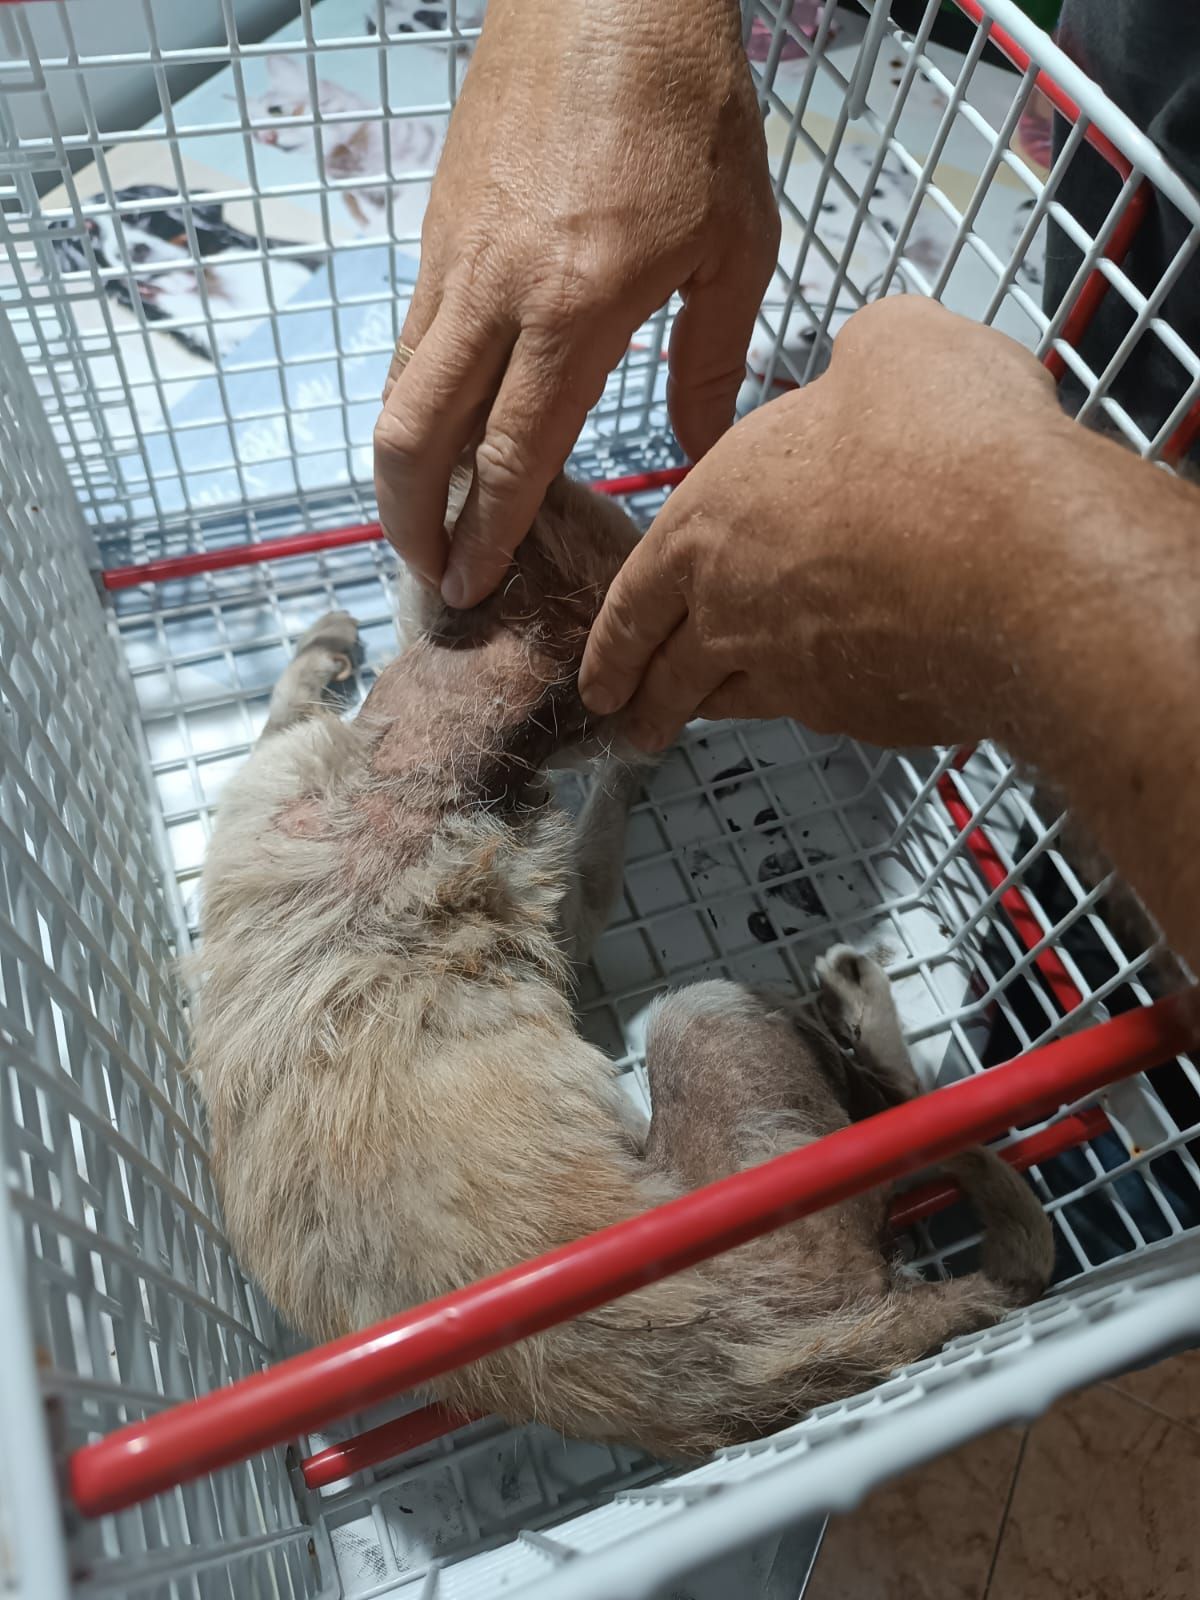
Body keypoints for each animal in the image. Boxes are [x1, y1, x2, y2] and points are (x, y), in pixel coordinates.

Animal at [185, 451, 1049, 1465]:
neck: (403, 778)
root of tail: (803, 1355)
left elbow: (283, 707)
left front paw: (321, 645)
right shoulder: (572, 908)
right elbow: (604, 806)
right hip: (707, 1019)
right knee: (907, 1106)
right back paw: (854, 996)